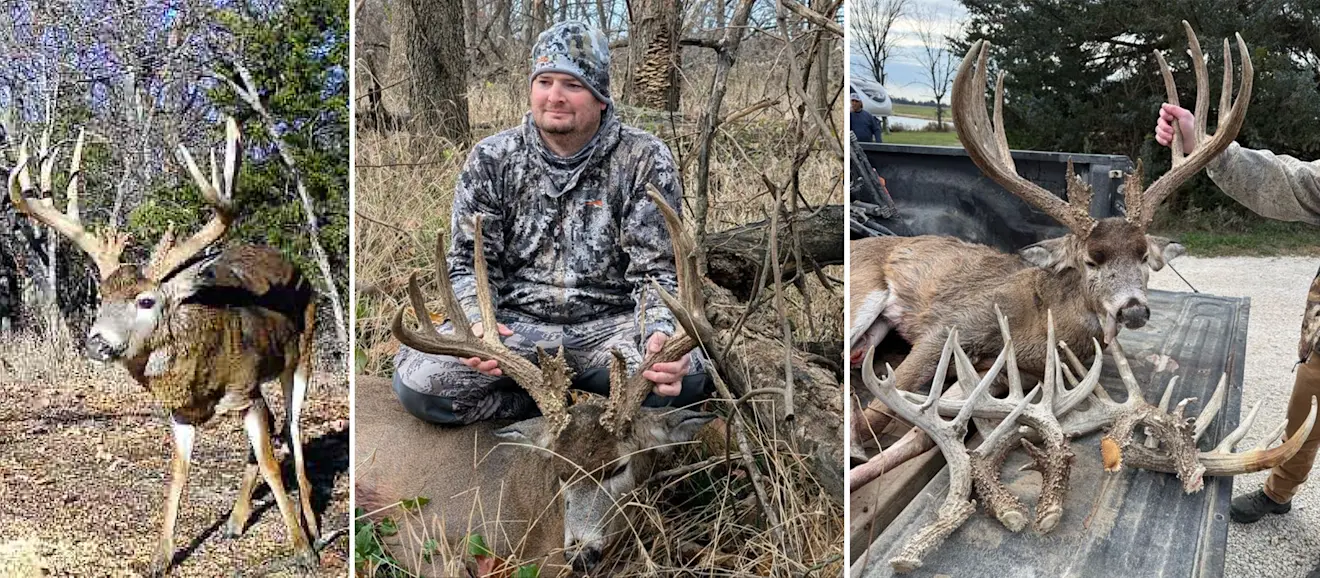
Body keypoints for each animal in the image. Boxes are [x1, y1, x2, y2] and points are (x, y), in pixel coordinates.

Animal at [7, 118, 319, 572]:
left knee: (293, 429)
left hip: (301, 356)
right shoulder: (181, 410)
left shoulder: (245, 390)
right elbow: (178, 472)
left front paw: (302, 549)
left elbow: (270, 464)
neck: (202, 376)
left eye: (146, 300)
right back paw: (236, 521)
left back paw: (312, 522)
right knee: (278, 427)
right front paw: (162, 555)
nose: (97, 343)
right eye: (101, 297)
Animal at [850, 20, 1251, 440]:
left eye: (1143, 257)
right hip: (864, 293)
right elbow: (873, 413)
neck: (1039, 325)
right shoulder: (950, 325)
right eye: (1091, 260)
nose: (1134, 309)